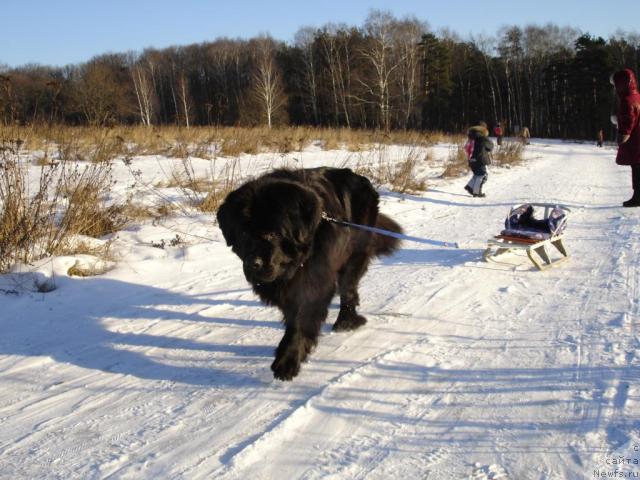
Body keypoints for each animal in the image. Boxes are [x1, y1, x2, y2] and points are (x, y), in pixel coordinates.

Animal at [218, 167, 402, 380]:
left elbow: (301, 319)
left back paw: (346, 321)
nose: (253, 264)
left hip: (356, 252)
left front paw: (287, 361)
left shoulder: (314, 283)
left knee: (348, 287)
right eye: (243, 234)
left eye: (273, 233)